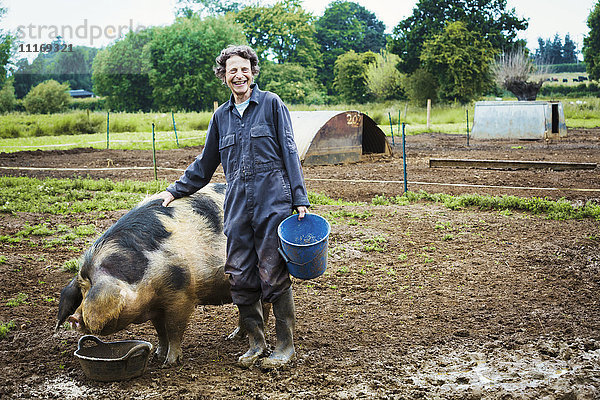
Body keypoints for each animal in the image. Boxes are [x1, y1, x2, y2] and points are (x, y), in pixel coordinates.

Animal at [56, 184, 241, 366]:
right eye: (82, 290)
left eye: (92, 286)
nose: (73, 318)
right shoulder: (155, 306)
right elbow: (160, 330)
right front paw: (157, 356)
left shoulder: (182, 294)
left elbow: (174, 328)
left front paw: (170, 363)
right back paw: (232, 337)